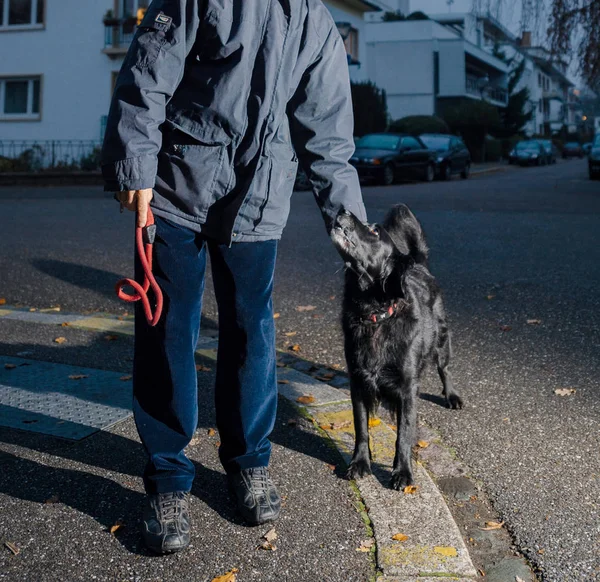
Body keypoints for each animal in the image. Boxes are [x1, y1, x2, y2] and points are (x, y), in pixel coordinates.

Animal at [330, 205, 462, 492]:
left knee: (445, 369)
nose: (342, 209)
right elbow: (361, 427)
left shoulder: (407, 388)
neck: (374, 316)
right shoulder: (357, 382)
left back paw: (452, 396)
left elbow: (404, 434)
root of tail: (419, 264)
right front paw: (360, 463)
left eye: (375, 231)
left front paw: (403, 472)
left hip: (442, 341)